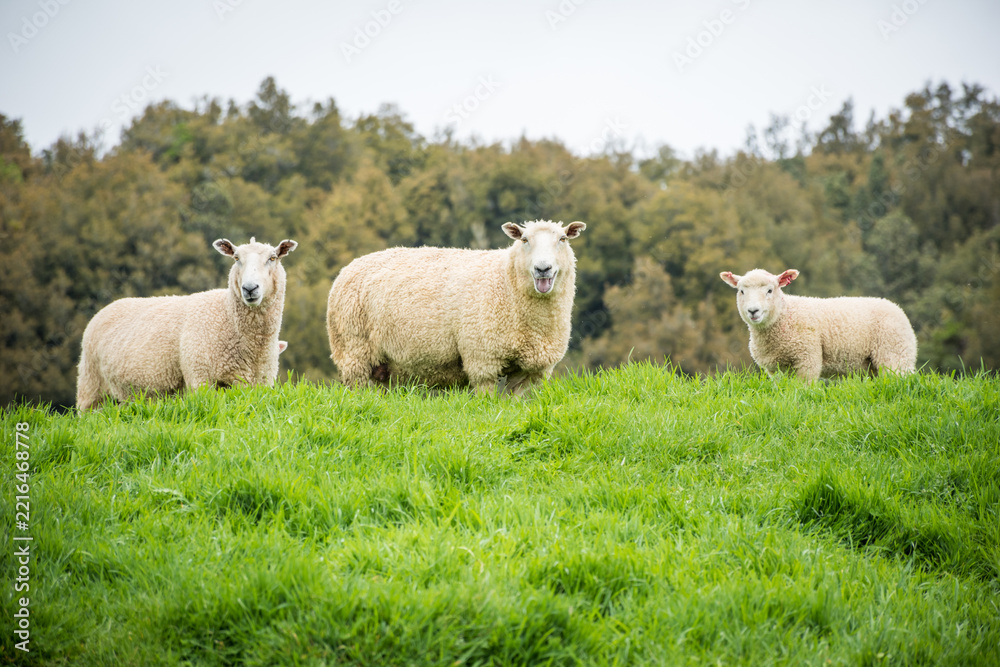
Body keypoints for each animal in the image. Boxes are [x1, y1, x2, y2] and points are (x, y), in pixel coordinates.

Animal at [76, 237, 297, 410]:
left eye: (272, 258)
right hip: (91, 386)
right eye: (236, 258)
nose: (250, 288)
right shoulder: (200, 377)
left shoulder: (259, 383)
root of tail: (106, 309)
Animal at [326, 220, 587, 395]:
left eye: (563, 239)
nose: (543, 268)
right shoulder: (483, 360)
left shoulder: (531, 371)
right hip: (353, 351)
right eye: (524, 240)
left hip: (382, 366)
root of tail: (348, 267)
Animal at [719, 268, 917, 382]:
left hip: (894, 352)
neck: (784, 315)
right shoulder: (776, 369)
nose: (753, 311)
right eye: (741, 291)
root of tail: (897, 308)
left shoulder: (808, 357)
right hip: (874, 365)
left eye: (770, 290)